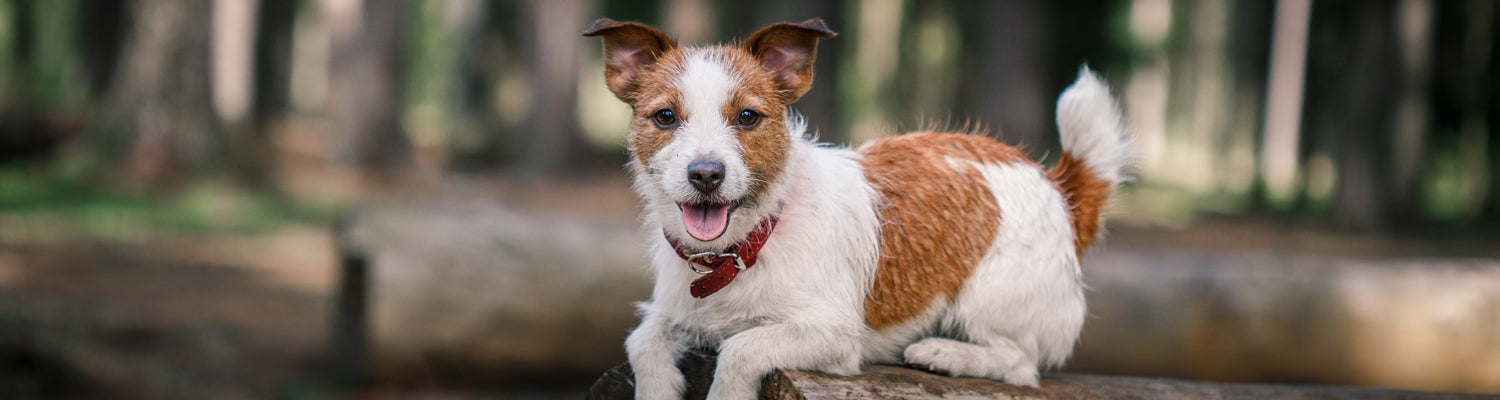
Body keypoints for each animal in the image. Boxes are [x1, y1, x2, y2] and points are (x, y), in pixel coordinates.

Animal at [582, 16, 1128, 400]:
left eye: (748, 117)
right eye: (665, 117)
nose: (705, 173)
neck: (745, 245)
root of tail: (1059, 187)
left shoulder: (833, 334)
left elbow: (740, 347)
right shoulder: (673, 312)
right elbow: (642, 342)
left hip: (991, 296)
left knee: (1020, 363)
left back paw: (946, 352)